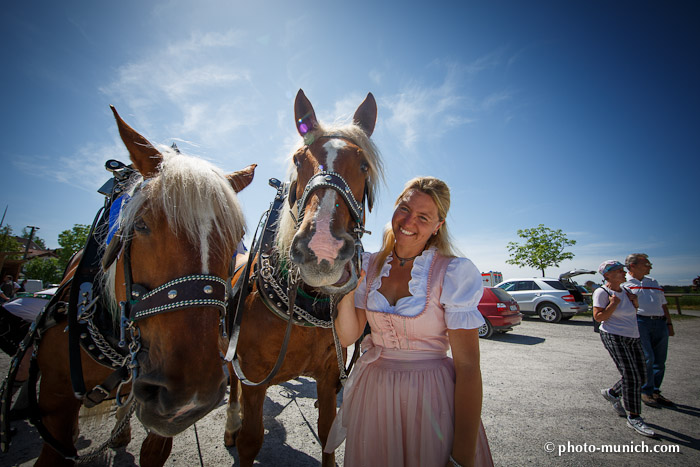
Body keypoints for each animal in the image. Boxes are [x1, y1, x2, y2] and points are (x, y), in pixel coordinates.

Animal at [226, 89, 382, 466]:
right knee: (231, 384)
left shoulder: (328, 377)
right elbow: (251, 439)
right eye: (298, 160)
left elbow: (327, 435)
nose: (322, 247)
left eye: (363, 165)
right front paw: (241, 430)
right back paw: (231, 423)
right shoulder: (254, 378)